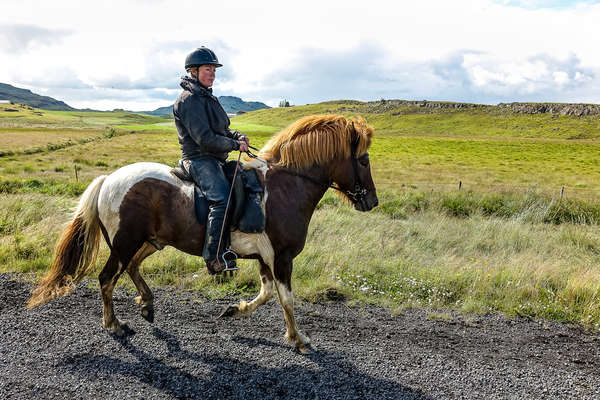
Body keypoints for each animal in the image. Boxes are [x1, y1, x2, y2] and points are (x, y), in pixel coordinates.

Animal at [27, 113, 380, 354]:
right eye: (363, 159)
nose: (372, 202)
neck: (285, 187)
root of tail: (108, 179)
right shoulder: (281, 257)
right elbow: (287, 299)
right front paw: (299, 339)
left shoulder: (265, 257)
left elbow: (267, 293)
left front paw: (235, 310)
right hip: (124, 243)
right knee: (107, 278)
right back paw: (114, 324)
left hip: (151, 242)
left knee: (132, 268)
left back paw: (147, 304)